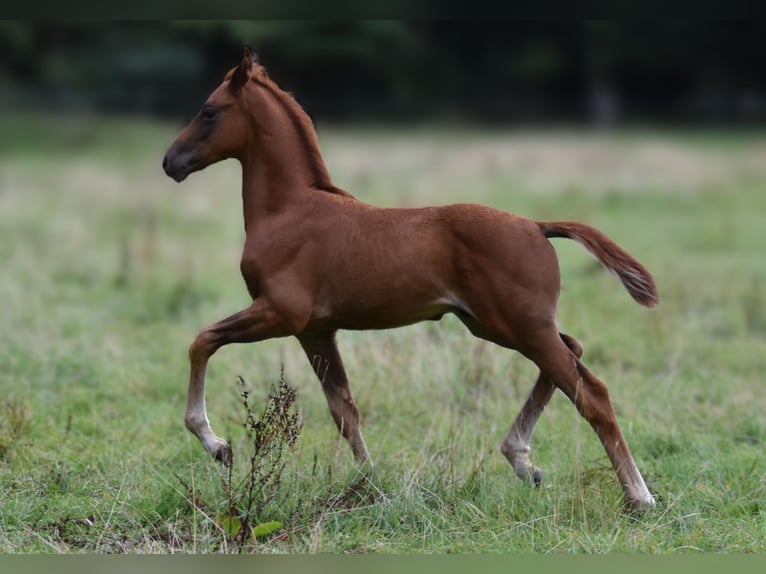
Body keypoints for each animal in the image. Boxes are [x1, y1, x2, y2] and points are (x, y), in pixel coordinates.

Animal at [162, 48, 658, 510]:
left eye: (208, 110)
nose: (171, 162)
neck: (289, 211)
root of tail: (537, 226)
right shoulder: (315, 330)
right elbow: (344, 410)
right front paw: (369, 484)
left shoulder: (280, 314)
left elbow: (201, 341)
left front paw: (217, 445)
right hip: (497, 324)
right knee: (572, 352)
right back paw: (522, 460)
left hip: (519, 325)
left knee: (591, 391)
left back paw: (638, 496)